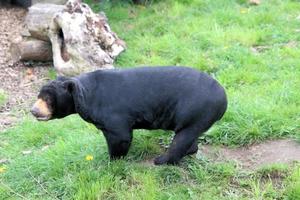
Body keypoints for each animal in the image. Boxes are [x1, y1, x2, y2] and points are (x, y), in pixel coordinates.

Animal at [31, 66, 227, 165]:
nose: (33, 110)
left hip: (196, 112)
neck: (84, 95)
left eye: (48, 99)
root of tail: (224, 98)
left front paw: (112, 161)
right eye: (38, 96)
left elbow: (121, 136)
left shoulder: (113, 114)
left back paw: (161, 160)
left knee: (182, 138)